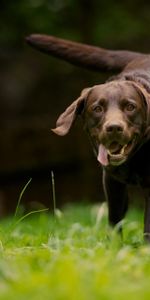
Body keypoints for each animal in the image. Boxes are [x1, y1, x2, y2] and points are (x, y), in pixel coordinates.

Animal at [26, 34, 150, 241]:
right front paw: (114, 245)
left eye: (130, 107)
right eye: (97, 108)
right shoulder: (111, 180)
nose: (114, 128)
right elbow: (115, 218)